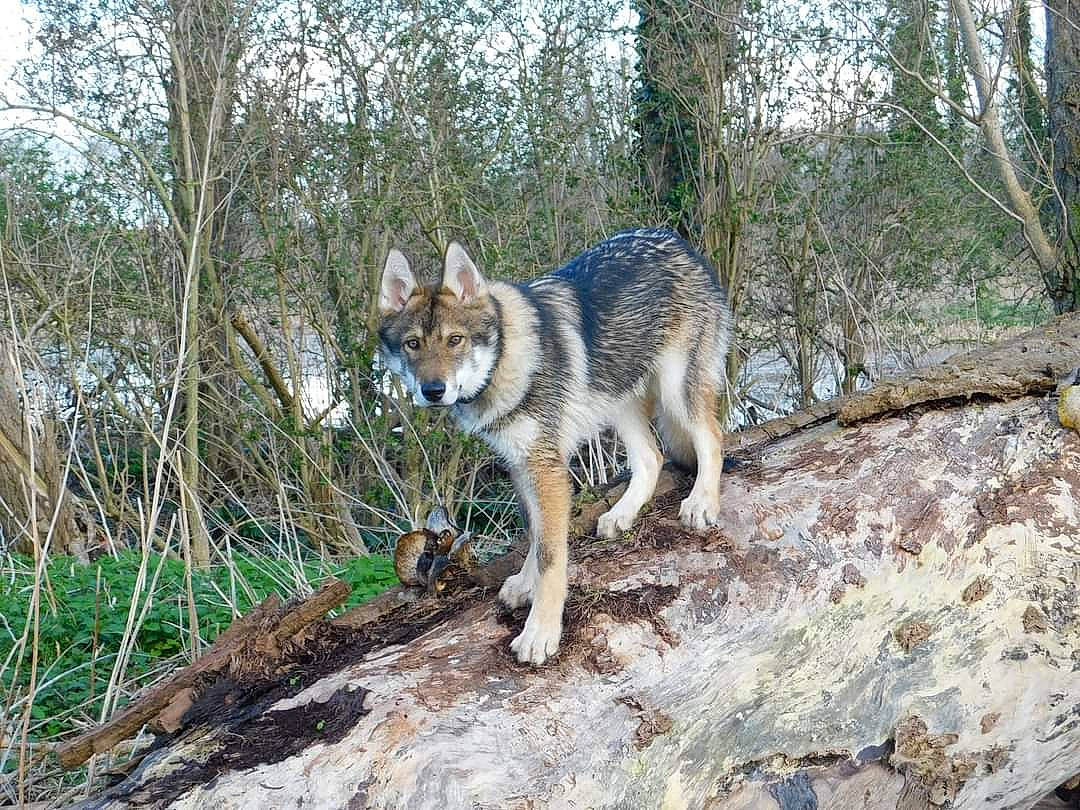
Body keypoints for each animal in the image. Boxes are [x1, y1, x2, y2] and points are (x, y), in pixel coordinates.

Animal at [377, 228, 732, 665]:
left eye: (454, 340)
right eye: (413, 344)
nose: (433, 390)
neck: (506, 362)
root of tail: (676, 241)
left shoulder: (547, 471)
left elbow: (550, 555)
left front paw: (540, 632)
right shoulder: (521, 465)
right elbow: (535, 534)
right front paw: (524, 586)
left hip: (676, 389)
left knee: (712, 438)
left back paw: (701, 503)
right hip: (619, 401)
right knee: (651, 457)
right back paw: (621, 516)